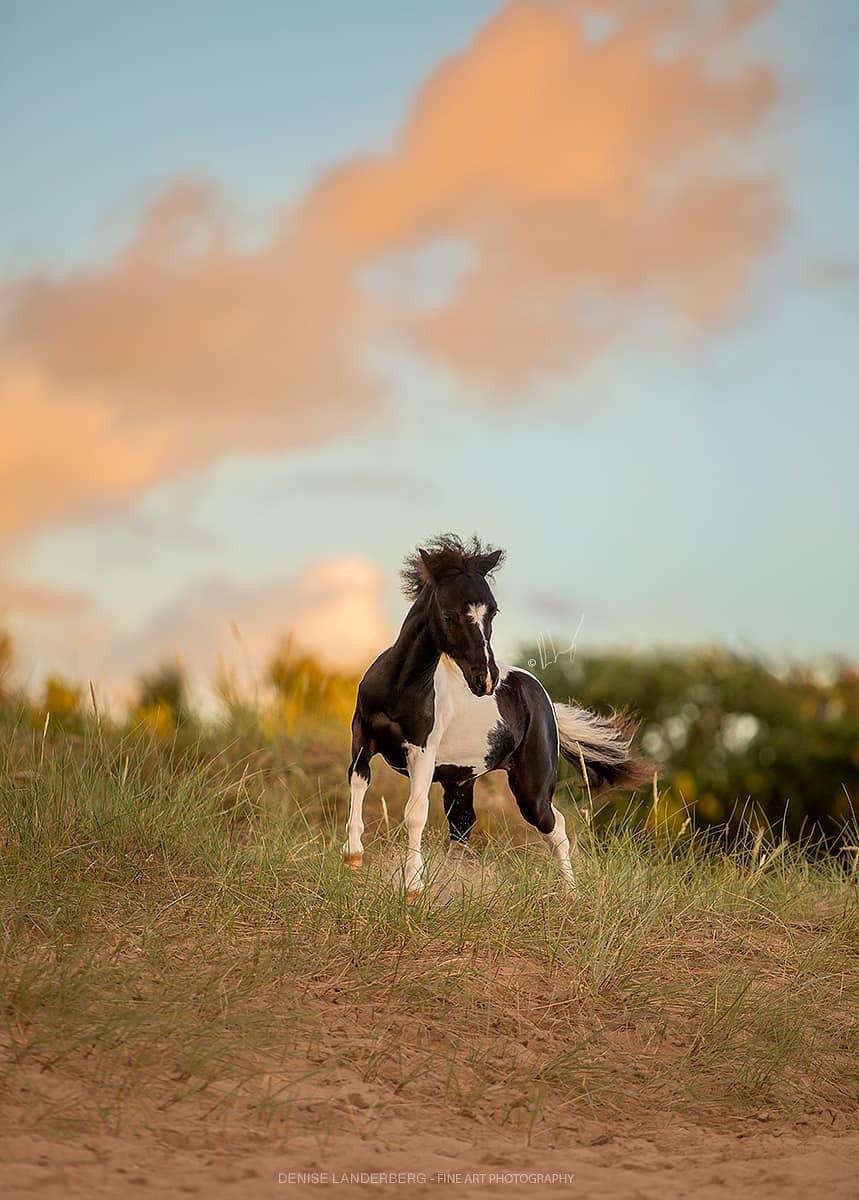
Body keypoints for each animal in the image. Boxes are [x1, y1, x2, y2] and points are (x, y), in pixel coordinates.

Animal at [343, 535, 649, 900]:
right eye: (449, 614)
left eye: (493, 610)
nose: (486, 680)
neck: (400, 687)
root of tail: (541, 695)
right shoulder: (363, 738)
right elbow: (358, 781)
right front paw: (352, 856)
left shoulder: (422, 752)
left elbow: (415, 812)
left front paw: (414, 888)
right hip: (460, 781)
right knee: (463, 828)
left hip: (531, 790)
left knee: (556, 827)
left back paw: (570, 895)